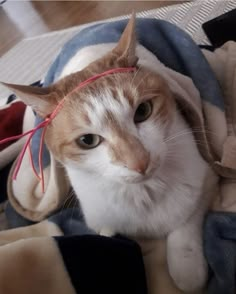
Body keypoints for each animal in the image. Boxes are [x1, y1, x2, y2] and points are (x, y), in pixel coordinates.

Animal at [3, 15, 214, 292]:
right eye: (87, 140)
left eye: (143, 111)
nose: (139, 162)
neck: (143, 195)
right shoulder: (100, 219)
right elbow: (107, 238)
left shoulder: (204, 179)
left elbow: (186, 230)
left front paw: (186, 265)